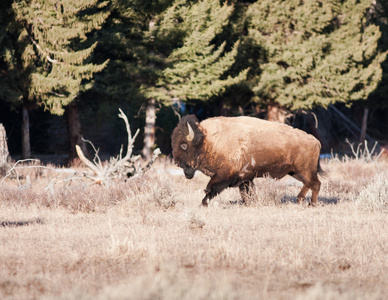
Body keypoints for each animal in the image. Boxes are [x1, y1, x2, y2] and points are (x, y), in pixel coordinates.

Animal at [171, 114, 322, 206]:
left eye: (184, 145)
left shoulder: (225, 175)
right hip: (295, 172)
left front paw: (203, 203)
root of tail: (315, 141)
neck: (209, 140)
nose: (177, 163)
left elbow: (210, 188)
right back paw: (300, 200)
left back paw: (311, 204)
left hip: (305, 170)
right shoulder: (245, 178)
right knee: (309, 184)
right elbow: (246, 192)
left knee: (315, 184)